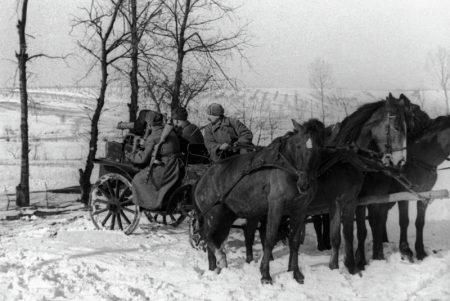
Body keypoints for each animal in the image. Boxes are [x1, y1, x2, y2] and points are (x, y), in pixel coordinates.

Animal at [192, 118, 324, 284]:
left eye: (319, 148)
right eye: (299, 146)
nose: (304, 184)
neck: (287, 168)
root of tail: (202, 178)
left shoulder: (300, 210)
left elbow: (294, 240)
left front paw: (296, 273)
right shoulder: (276, 206)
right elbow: (270, 238)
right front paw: (265, 274)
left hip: (225, 218)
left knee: (215, 239)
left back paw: (214, 268)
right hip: (212, 215)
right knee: (206, 235)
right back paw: (220, 257)